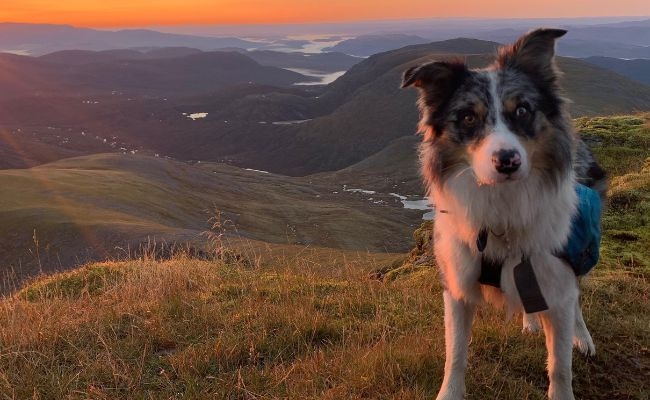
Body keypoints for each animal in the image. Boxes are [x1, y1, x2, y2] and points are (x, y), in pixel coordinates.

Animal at [400, 28, 608, 400]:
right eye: (468, 117)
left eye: (522, 110)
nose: (508, 161)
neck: (502, 211)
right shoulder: (457, 285)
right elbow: (455, 355)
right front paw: (450, 392)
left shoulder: (557, 280)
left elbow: (560, 365)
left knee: (577, 302)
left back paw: (582, 337)